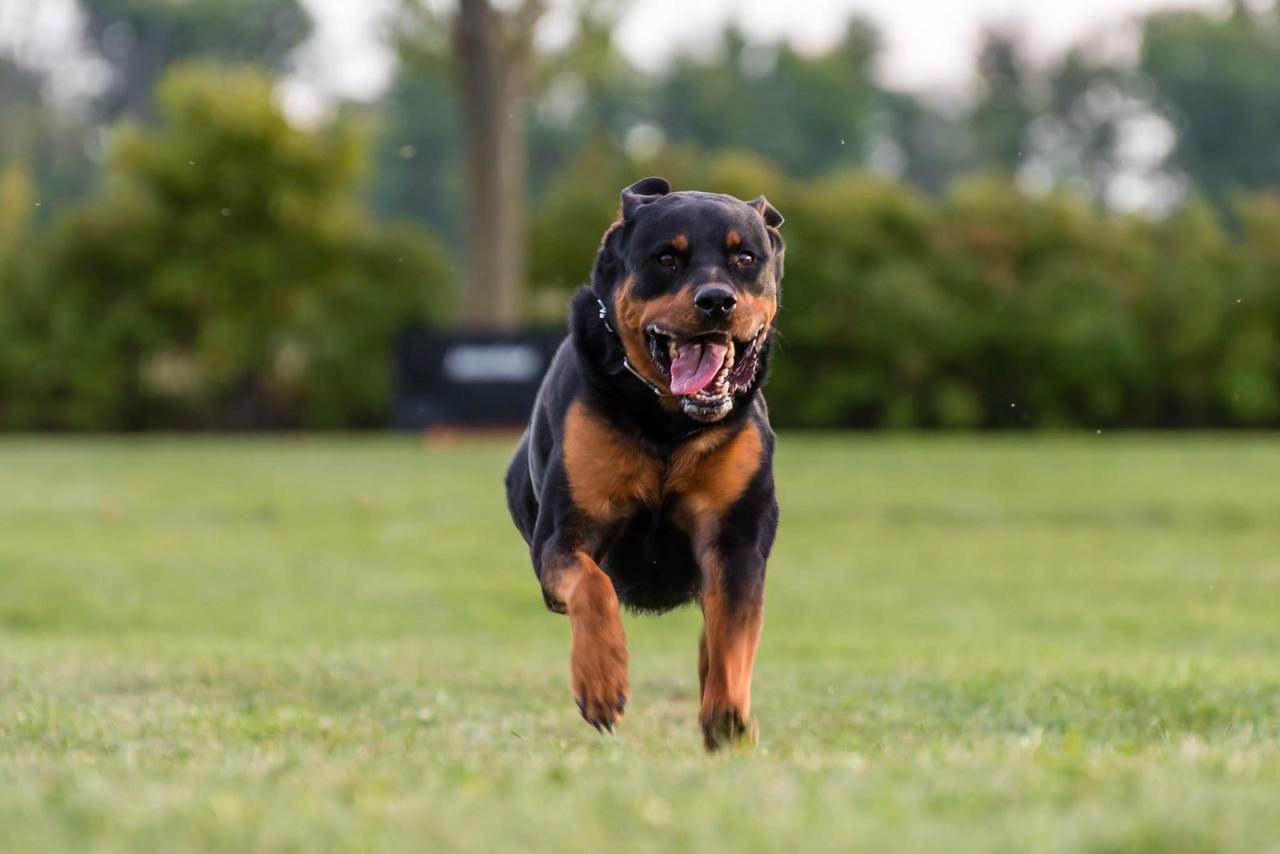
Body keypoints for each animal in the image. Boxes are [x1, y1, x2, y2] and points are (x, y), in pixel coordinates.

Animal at [506, 179, 783, 747]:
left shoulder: (738, 537)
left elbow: (733, 630)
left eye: (745, 257)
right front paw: (601, 681)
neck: (668, 424)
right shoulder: (562, 534)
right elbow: (593, 584)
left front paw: (727, 713)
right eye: (666, 259)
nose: (716, 300)